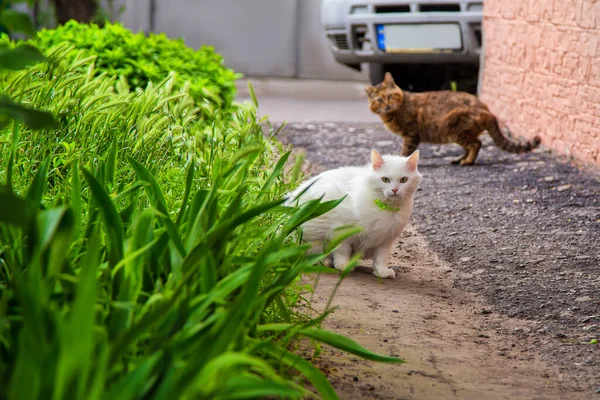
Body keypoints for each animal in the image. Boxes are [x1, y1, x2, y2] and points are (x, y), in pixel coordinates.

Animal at [288, 149, 422, 278]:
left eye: (403, 180)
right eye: (385, 179)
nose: (395, 190)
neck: (386, 208)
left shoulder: (385, 240)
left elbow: (380, 259)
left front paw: (382, 272)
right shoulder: (341, 229)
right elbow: (342, 251)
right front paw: (342, 265)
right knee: (312, 253)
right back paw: (325, 262)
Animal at [364, 72, 540, 165]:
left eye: (389, 96)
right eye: (379, 100)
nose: (387, 105)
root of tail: (487, 110)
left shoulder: (411, 135)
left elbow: (405, 151)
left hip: (455, 129)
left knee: (476, 144)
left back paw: (468, 161)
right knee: (470, 146)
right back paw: (459, 159)